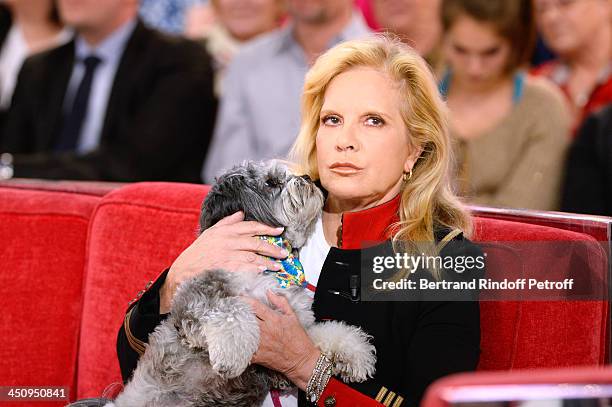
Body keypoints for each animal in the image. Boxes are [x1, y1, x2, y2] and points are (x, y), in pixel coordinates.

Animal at [103, 163, 376, 407]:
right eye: (271, 182)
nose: (309, 177)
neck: (274, 264)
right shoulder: (199, 293)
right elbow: (231, 311)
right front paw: (233, 353)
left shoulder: (295, 325)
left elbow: (326, 332)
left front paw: (355, 354)